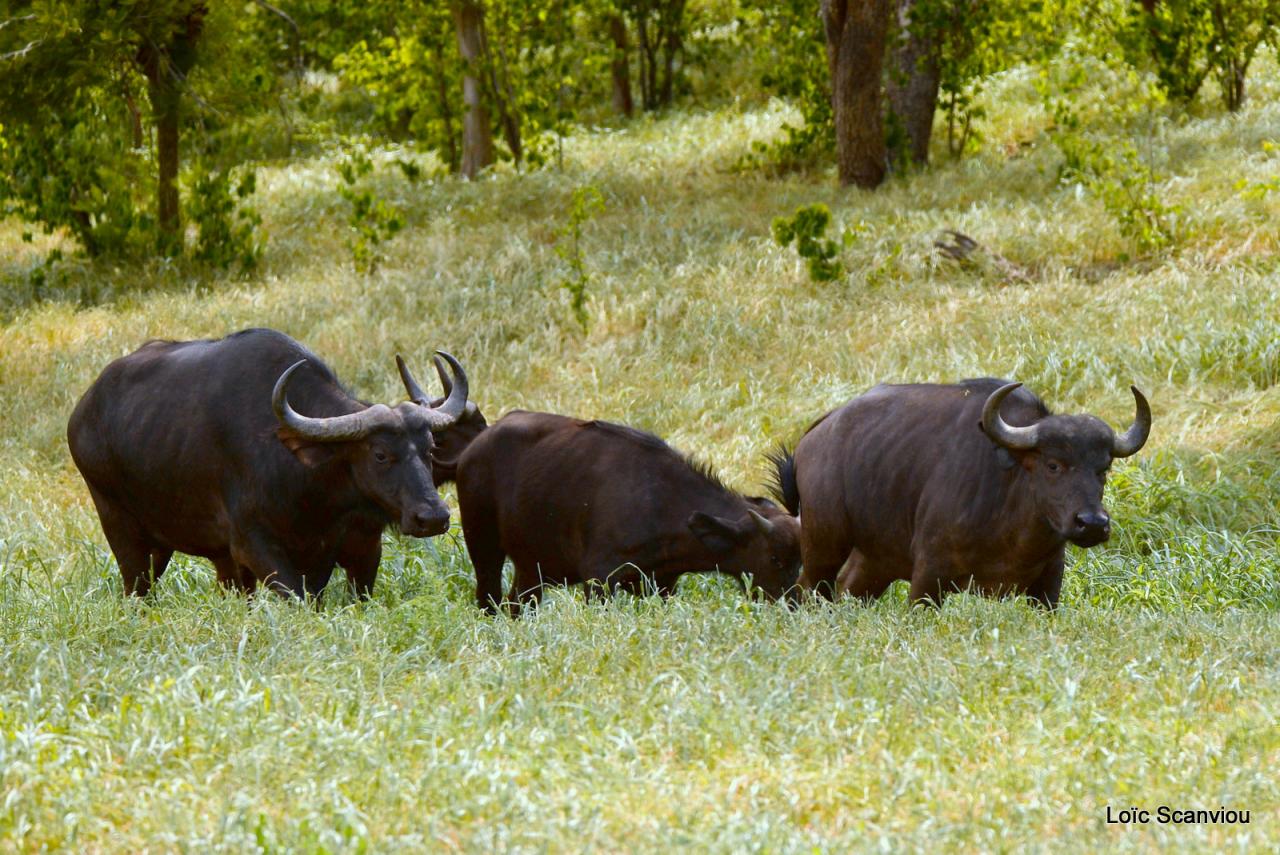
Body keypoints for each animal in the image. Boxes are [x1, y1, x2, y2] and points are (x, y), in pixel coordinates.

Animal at [66, 330, 476, 599]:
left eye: (430, 447)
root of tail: (83, 411)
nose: (433, 517)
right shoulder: (255, 546)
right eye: (379, 454)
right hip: (120, 528)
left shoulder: (354, 549)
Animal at [458, 409, 798, 611]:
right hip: (483, 549)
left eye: (800, 561)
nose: (794, 604)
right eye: (775, 558)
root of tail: (474, 447)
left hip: (531, 571)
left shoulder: (661, 584)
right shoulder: (599, 580)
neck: (662, 503)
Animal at [773, 378, 1157, 606]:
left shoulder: (1048, 585)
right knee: (807, 588)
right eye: (1053, 464)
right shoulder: (929, 576)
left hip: (874, 559)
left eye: (1103, 469)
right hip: (824, 544)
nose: (1092, 523)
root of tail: (813, 437)